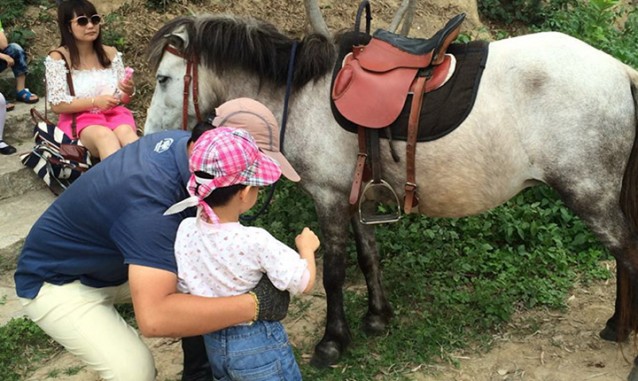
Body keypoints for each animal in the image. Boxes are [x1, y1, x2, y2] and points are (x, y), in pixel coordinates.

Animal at [144, 14, 638, 378]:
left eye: (165, 79)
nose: (150, 138)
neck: (300, 95)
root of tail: (618, 70)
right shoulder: (354, 196)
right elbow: (369, 257)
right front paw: (378, 318)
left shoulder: (328, 197)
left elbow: (334, 272)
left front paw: (332, 342)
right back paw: (617, 327)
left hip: (589, 193)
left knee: (628, 254)